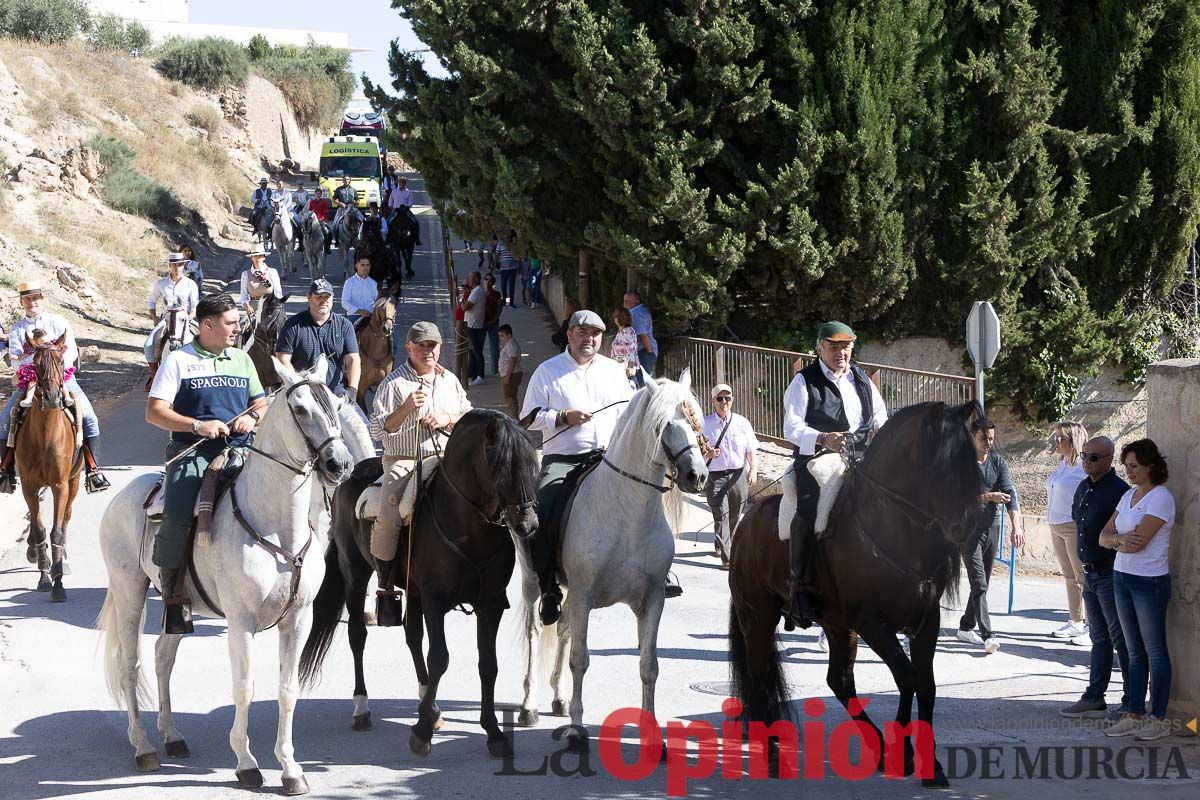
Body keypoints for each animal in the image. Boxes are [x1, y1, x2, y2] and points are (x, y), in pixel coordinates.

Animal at [97, 359, 350, 796]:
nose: (340, 464)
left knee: (162, 658)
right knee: (131, 665)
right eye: (300, 408)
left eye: (335, 403)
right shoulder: (240, 623)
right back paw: (143, 746)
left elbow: (287, 690)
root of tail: (123, 497)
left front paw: (291, 769)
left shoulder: (297, 620)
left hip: (175, 606)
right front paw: (247, 764)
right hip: (130, 594)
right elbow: (244, 689)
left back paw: (172, 736)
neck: (276, 529)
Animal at [300, 412, 540, 758]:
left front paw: (493, 733)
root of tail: (352, 473)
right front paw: (422, 732)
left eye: (532, 464)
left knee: (412, 636)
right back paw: (362, 708)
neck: (467, 525)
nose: (528, 524)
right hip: (355, 573)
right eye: (501, 466)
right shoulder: (435, 600)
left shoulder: (490, 603)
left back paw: (431, 704)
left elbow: (488, 664)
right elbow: (439, 657)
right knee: (358, 635)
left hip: (411, 591)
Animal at [516, 371, 710, 748]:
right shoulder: (584, 596)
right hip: (534, 582)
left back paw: (559, 698)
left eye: (695, 421)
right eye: (663, 425)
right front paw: (577, 730)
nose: (697, 475)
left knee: (562, 628)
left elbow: (649, 665)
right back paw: (529, 706)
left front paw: (652, 736)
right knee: (533, 633)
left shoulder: (651, 599)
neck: (626, 513)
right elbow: (580, 660)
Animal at [724, 400, 979, 786]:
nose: (966, 526)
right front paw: (905, 754)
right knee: (759, 677)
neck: (890, 528)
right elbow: (907, 677)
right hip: (758, 617)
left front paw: (929, 766)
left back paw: (877, 749)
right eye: (944, 463)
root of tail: (744, 527)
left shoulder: (925, 622)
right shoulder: (872, 622)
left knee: (839, 681)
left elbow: (926, 685)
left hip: (836, 624)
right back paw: (772, 755)